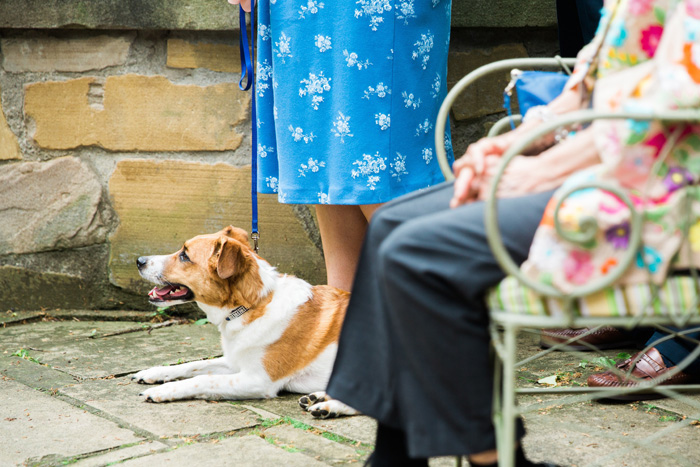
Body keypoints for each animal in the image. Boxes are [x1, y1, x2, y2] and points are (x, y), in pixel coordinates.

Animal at [133, 225, 358, 418]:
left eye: (185, 256)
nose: (139, 260)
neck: (255, 304)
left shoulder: (257, 380)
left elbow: (202, 379)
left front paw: (163, 390)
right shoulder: (235, 362)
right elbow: (193, 365)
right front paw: (154, 372)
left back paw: (328, 407)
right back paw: (317, 397)